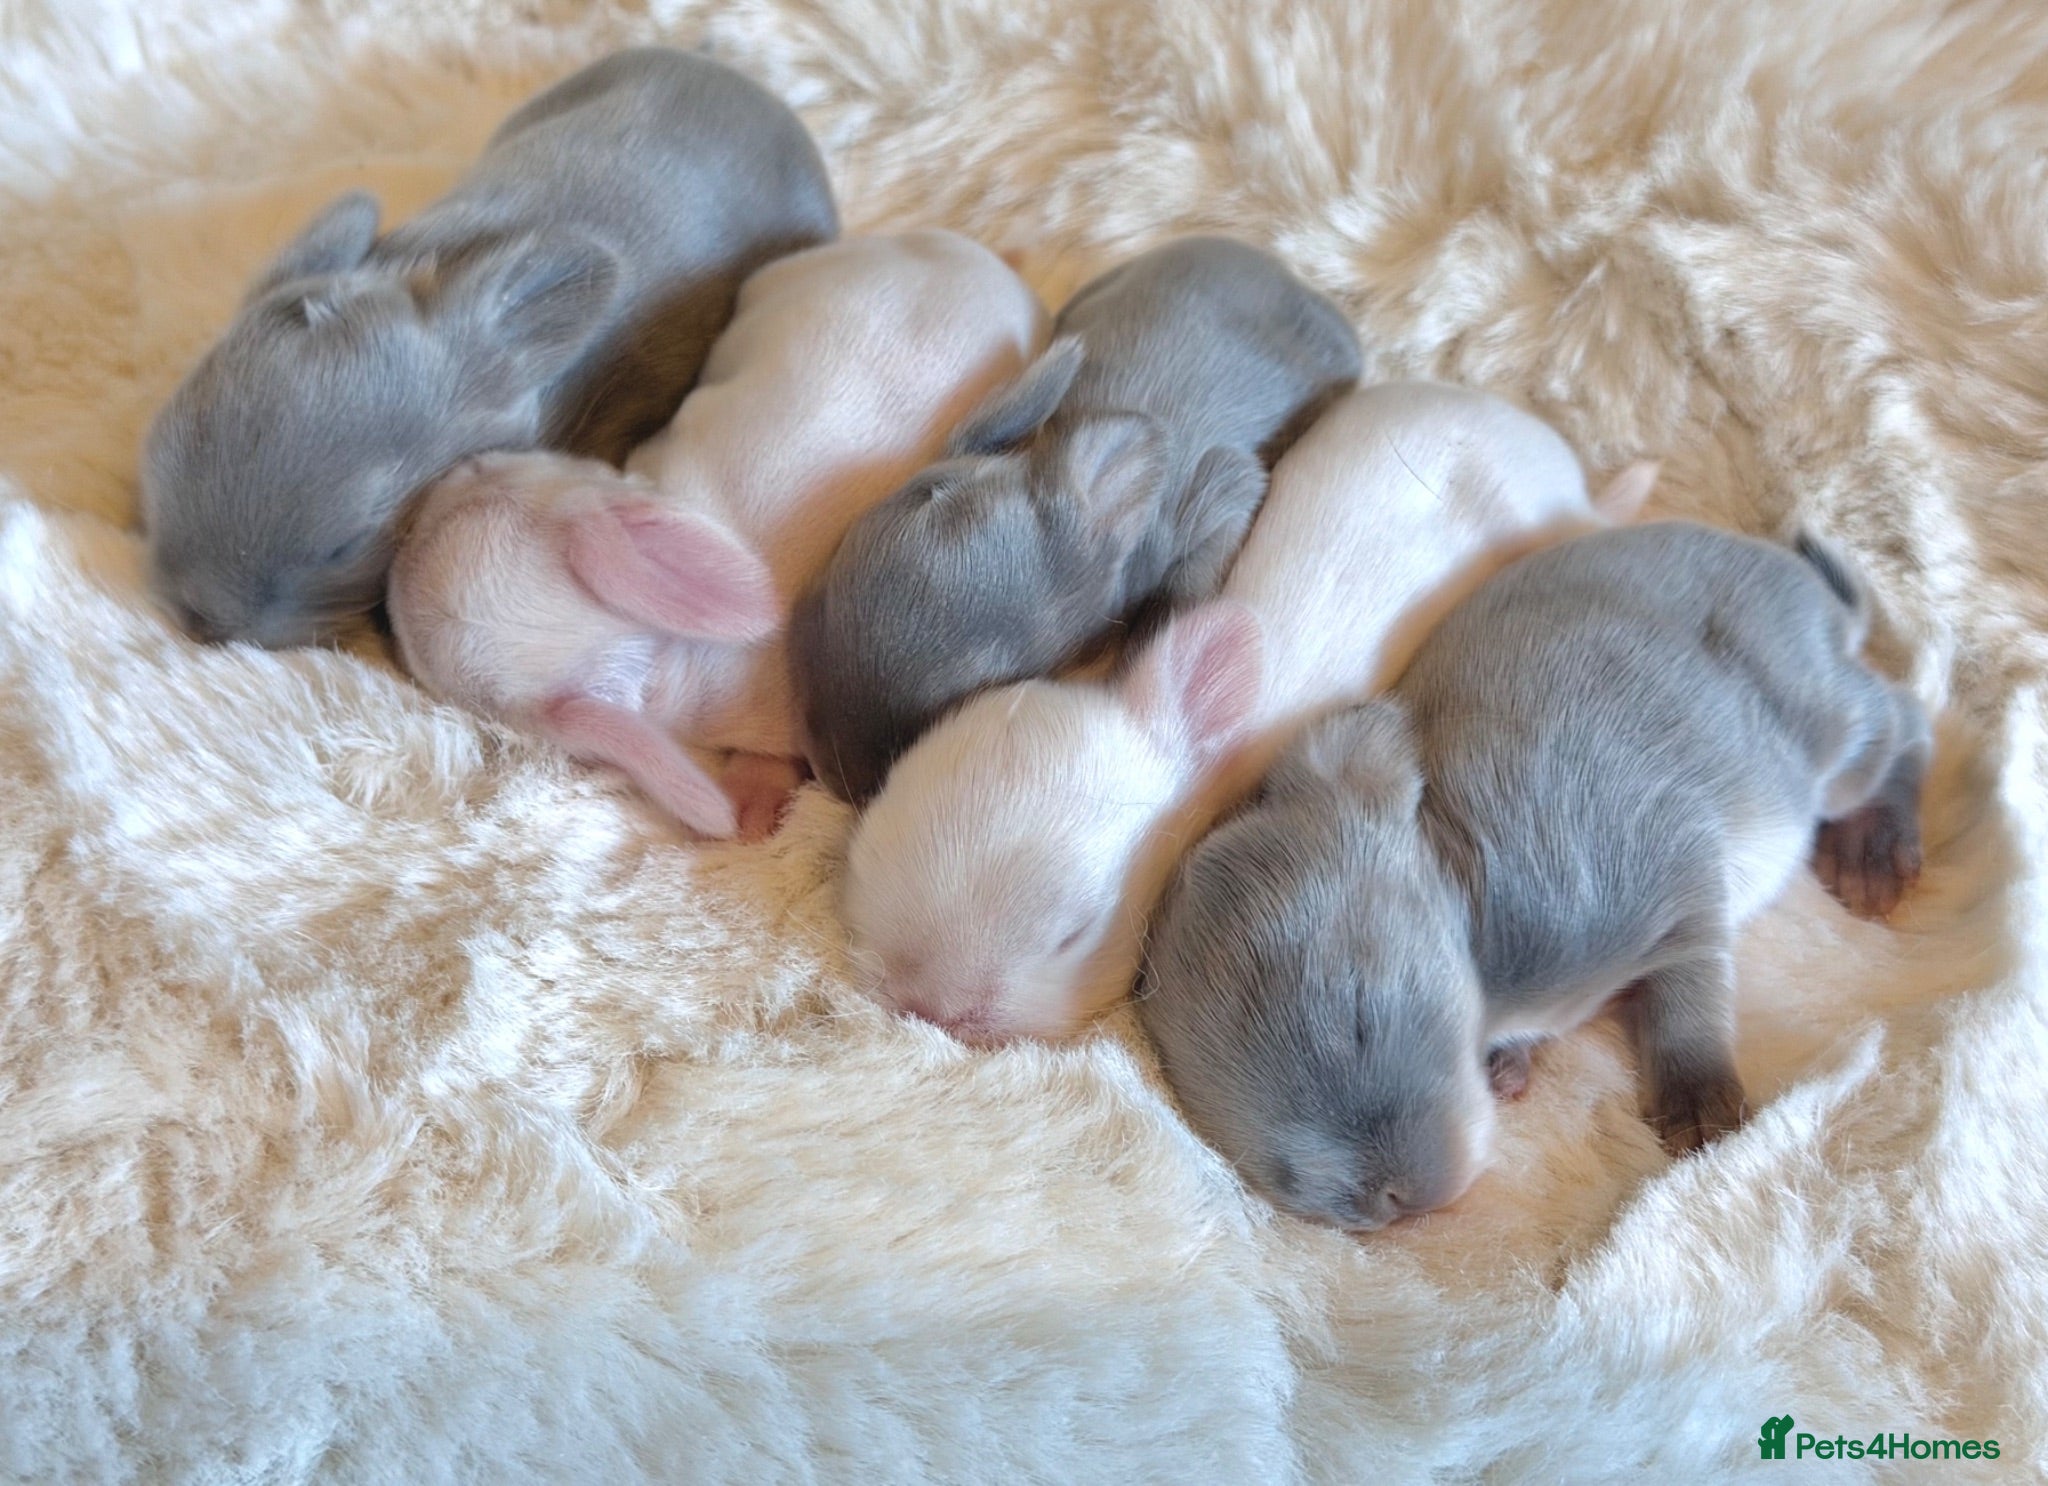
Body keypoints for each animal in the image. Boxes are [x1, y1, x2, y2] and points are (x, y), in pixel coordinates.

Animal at [1138, 521, 1931, 1232]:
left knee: (1904, 718)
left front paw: (1702, 1111)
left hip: (1825, 732)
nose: (1390, 1202)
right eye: (1267, 1163)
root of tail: (1819, 600)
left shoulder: (1667, 874)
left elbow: (1692, 984)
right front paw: (1513, 1066)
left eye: (1359, 1018)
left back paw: (1873, 854)